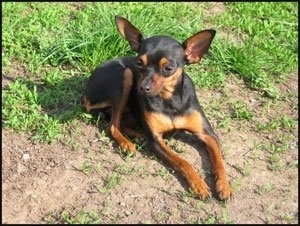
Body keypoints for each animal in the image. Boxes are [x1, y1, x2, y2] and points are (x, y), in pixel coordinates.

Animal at [82, 15, 232, 200]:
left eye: (168, 68)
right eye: (139, 63)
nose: (142, 88)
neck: (169, 100)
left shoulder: (208, 134)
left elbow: (219, 161)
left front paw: (223, 185)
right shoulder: (156, 141)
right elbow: (184, 162)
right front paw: (198, 184)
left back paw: (137, 135)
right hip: (125, 76)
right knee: (112, 126)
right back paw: (127, 143)